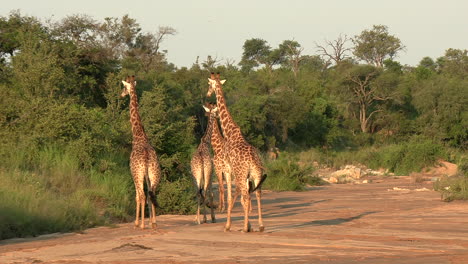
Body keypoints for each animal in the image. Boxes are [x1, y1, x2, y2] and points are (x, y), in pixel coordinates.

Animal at [120, 75, 161, 228]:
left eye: (124, 87)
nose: (121, 94)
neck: (138, 135)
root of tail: (146, 158)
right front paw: (151, 221)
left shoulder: (133, 173)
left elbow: (137, 196)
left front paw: (137, 222)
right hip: (154, 173)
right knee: (152, 193)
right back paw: (153, 223)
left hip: (138, 173)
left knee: (142, 195)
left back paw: (141, 224)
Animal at [206, 72, 266, 233]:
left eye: (209, 85)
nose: (207, 94)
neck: (229, 132)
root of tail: (253, 160)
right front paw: (249, 224)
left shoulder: (228, 170)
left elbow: (230, 196)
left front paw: (229, 225)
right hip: (256, 175)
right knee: (257, 194)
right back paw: (260, 225)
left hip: (242, 174)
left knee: (246, 195)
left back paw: (244, 228)